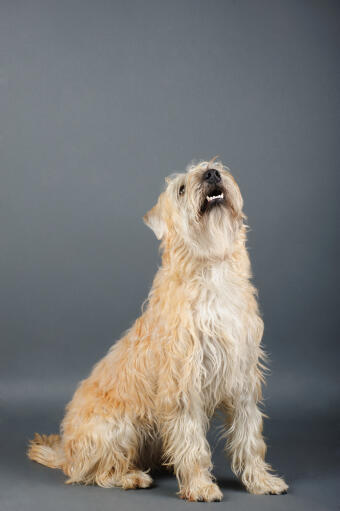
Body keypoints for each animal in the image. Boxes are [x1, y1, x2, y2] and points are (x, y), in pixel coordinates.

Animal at [27, 161, 286, 504]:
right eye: (180, 189)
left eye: (212, 168)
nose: (211, 174)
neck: (211, 269)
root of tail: (66, 451)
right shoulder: (183, 386)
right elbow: (192, 442)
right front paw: (200, 487)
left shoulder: (242, 379)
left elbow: (249, 438)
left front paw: (261, 480)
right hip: (118, 429)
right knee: (94, 471)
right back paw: (131, 477)